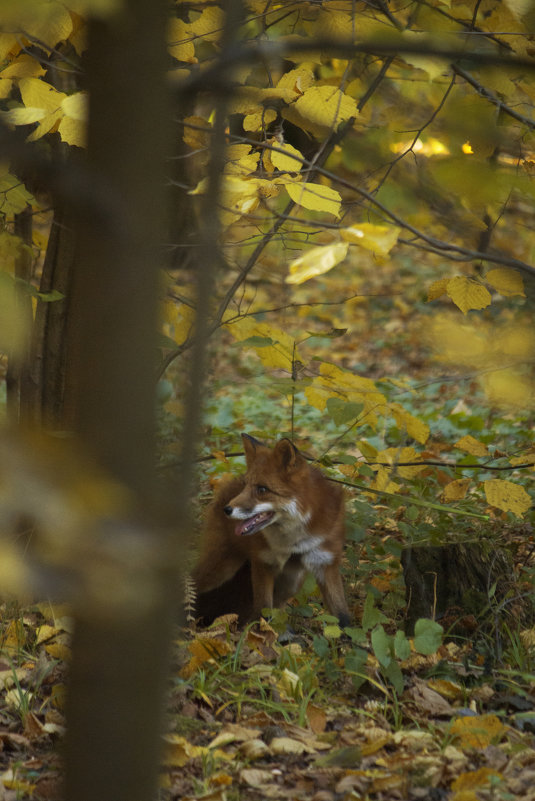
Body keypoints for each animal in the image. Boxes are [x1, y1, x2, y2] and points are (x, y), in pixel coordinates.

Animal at [193, 434, 352, 628]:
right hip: (221, 568)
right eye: (246, 486)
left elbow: (342, 615)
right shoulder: (262, 562)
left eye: (262, 489)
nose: (227, 509)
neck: (292, 541)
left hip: (290, 583)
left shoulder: (326, 563)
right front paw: (258, 633)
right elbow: (262, 610)